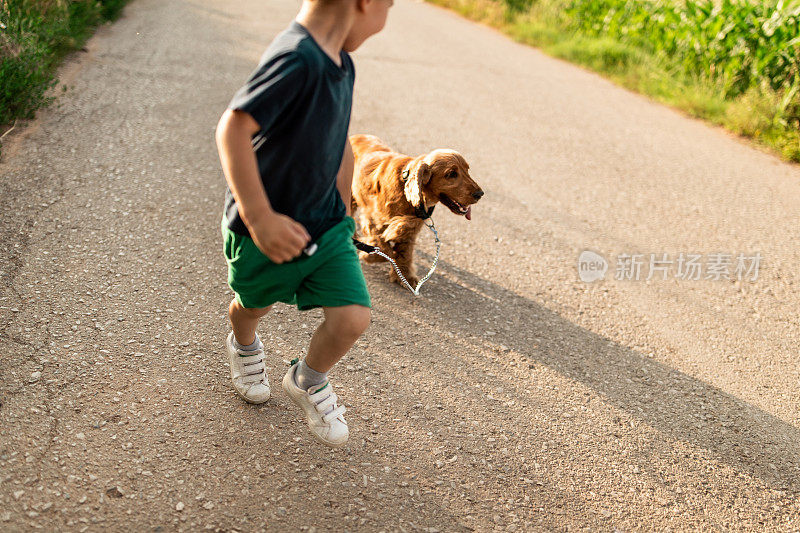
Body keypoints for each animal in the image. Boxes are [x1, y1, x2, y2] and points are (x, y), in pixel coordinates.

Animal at [348, 135, 482, 288]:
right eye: (451, 174)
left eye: (467, 170)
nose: (480, 194)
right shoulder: (372, 216)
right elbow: (382, 245)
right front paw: (372, 256)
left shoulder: (412, 227)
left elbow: (405, 251)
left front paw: (405, 276)